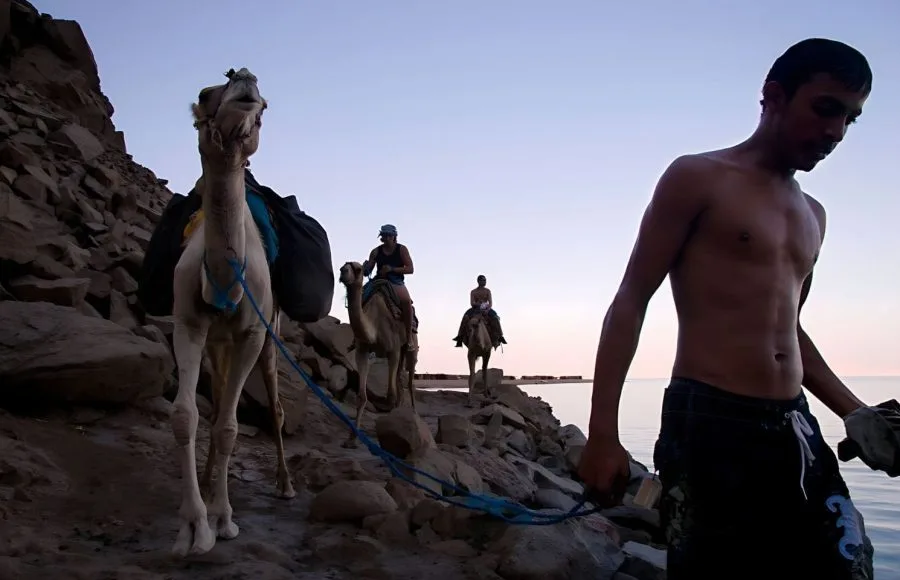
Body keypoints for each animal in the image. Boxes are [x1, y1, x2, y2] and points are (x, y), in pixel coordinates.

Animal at [168, 68, 293, 558]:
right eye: (205, 94)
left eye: (264, 105)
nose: (244, 77)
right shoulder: (187, 323)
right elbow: (188, 415)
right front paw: (193, 525)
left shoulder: (252, 334)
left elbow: (229, 427)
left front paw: (223, 519)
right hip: (215, 345)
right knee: (219, 394)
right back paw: (206, 478)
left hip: (271, 336)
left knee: (273, 406)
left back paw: (285, 484)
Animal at [339, 262, 418, 444]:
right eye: (343, 266)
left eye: (358, 269)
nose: (343, 272)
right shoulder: (363, 350)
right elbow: (362, 396)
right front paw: (351, 438)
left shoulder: (393, 350)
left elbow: (390, 395)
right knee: (399, 380)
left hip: (411, 347)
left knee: (409, 380)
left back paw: (414, 413)